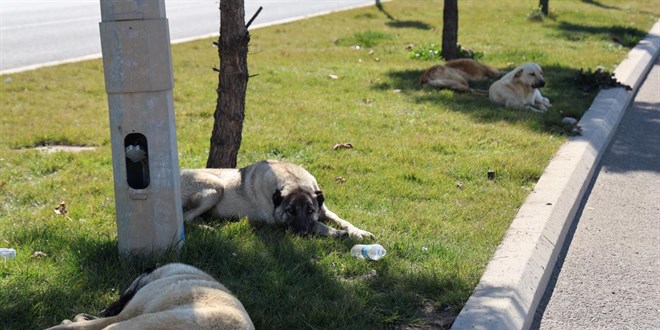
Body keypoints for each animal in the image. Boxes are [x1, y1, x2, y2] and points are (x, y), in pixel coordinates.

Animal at [180, 159, 376, 238]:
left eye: (310, 210)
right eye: (291, 211)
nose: (302, 233)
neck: (295, 181)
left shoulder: (325, 211)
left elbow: (343, 220)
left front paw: (358, 231)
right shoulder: (277, 222)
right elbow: (318, 224)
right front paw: (336, 233)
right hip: (216, 188)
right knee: (185, 218)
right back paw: (206, 227)